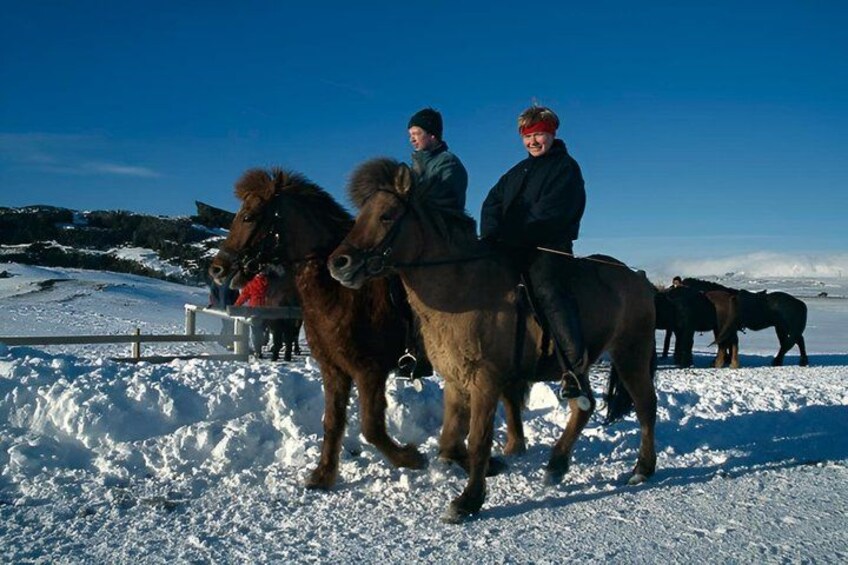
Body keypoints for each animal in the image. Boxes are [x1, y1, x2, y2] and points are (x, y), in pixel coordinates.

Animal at [208, 167, 428, 489]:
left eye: (248, 216)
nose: (217, 268)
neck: (341, 293)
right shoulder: (333, 368)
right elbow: (332, 421)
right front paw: (323, 474)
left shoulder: (369, 370)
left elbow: (371, 427)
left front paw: (410, 458)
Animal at [328, 158, 658, 523]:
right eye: (360, 215)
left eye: (386, 215)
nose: (338, 264)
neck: (462, 288)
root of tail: (637, 278)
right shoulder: (456, 380)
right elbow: (448, 441)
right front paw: (487, 467)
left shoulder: (485, 380)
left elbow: (478, 440)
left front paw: (468, 500)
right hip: (578, 365)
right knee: (583, 407)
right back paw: (556, 464)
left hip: (631, 354)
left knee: (646, 406)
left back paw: (642, 469)